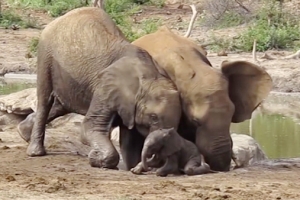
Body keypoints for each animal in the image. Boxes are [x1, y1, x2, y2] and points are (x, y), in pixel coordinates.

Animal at [17, 7, 182, 170]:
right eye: (153, 117)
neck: (150, 76)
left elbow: (130, 139)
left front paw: (131, 167)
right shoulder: (106, 87)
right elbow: (90, 127)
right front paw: (95, 158)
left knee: (61, 105)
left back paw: (23, 132)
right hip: (46, 55)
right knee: (45, 101)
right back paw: (35, 152)